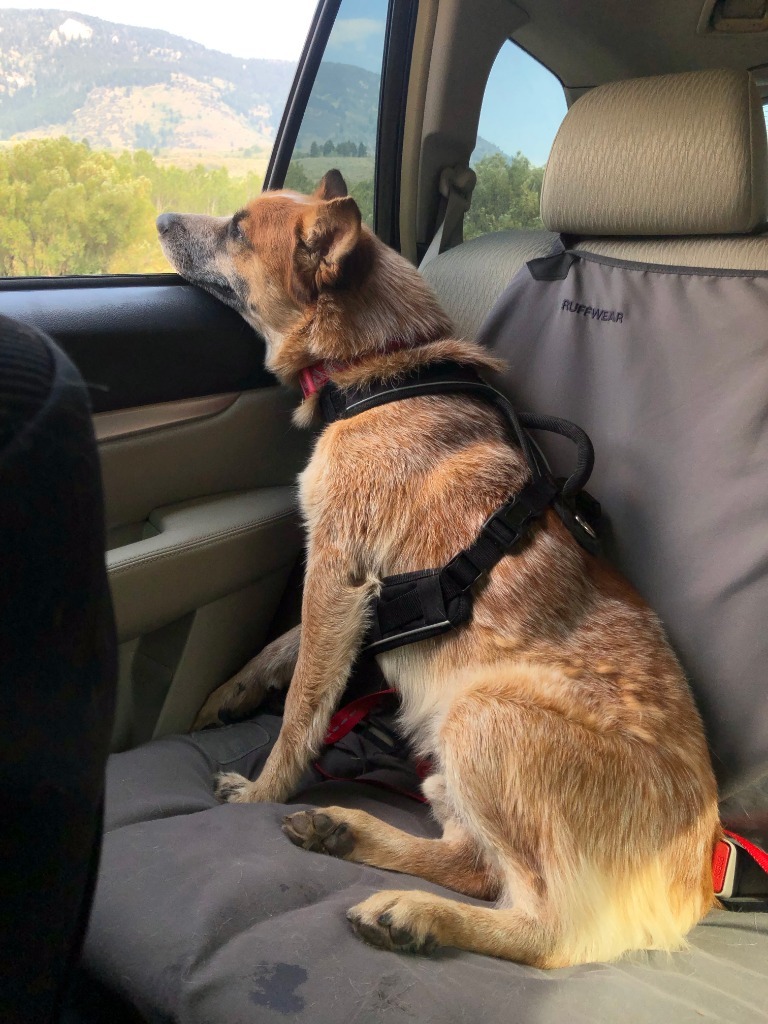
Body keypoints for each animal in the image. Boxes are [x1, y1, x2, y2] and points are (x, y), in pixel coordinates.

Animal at [156, 169, 720, 966]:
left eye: (238, 227)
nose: (162, 218)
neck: (381, 368)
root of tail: (698, 879)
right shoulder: (351, 591)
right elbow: (282, 648)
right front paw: (233, 691)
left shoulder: (336, 570)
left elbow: (302, 703)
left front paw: (267, 789)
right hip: (449, 768)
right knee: (476, 866)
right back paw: (347, 832)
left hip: (478, 719)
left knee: (546, 928)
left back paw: (413, 914)